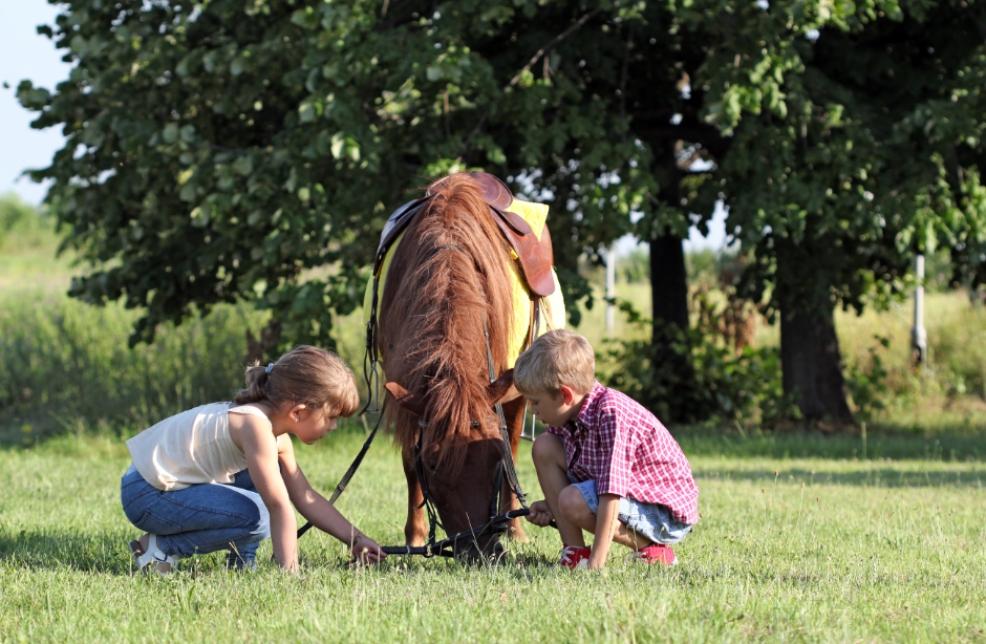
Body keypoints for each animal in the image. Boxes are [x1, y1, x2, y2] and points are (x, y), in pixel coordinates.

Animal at [373, 172, 547, 559]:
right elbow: (409, 462)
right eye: (434, 464)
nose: (479, 548)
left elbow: (510, 453)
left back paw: (516, 529)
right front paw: (414, 538)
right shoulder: (406, 390)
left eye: (494, 460)